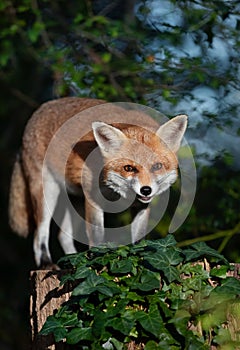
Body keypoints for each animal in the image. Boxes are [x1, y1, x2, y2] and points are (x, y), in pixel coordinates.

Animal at [8, 97, 187, 266]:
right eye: (128, 168)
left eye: (157, 166)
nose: (146, 190)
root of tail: (41, 108)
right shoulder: (93, 199)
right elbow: (97, 236)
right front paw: (97, 261)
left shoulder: (141, 206)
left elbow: (138, 239)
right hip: (47, 193)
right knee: (39, 235)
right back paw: (47, 263)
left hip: (76, 202)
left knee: (62, 236)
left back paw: (72, 263)